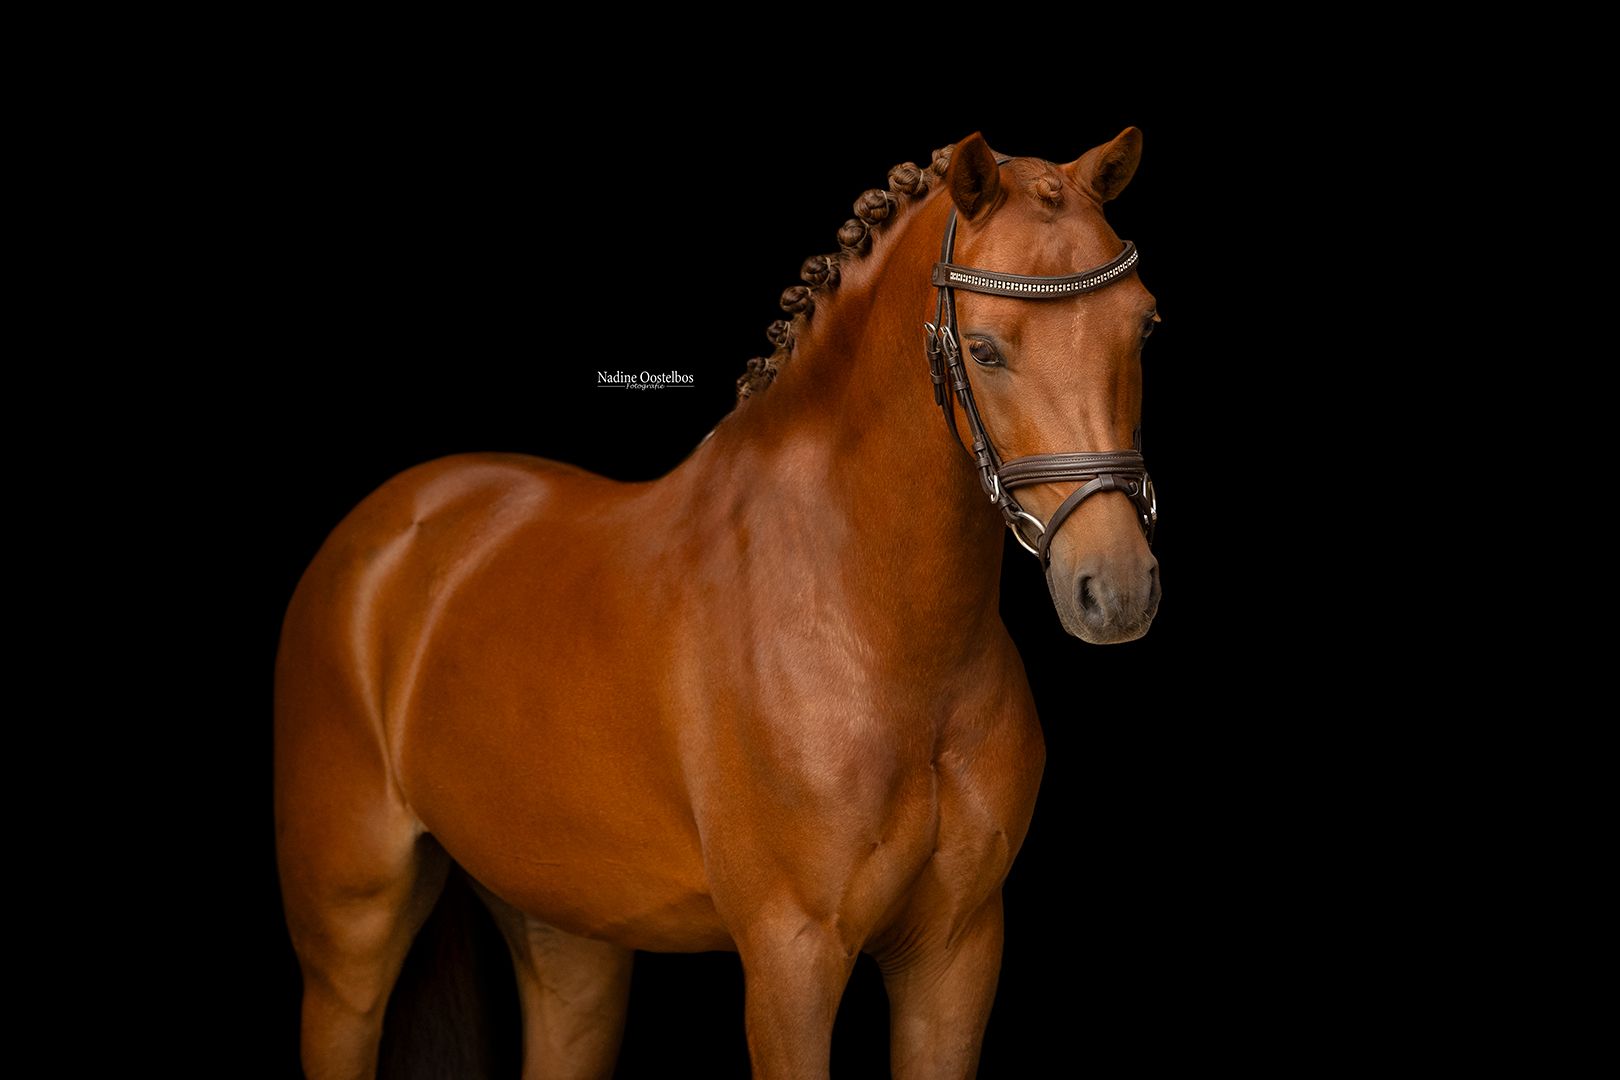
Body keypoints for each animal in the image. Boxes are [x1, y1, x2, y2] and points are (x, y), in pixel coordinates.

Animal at [275, 128, 1161, 1079]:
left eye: (1143, 325)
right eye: (988, 349)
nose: (1115, 589)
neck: (877, 636)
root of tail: (392, 526)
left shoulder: (957, 953)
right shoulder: (790, 957)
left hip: (567, 939)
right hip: (348, 943)